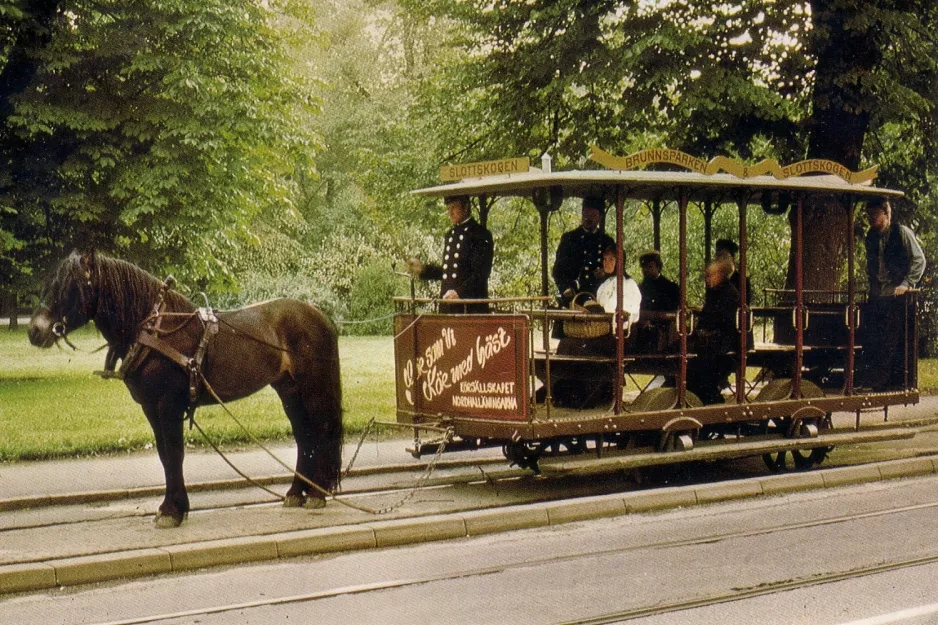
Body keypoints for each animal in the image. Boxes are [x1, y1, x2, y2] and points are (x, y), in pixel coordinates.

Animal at [28, 249, 344, 528]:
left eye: (71, 286)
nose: (35, 330)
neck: (156, 329)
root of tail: (319, 314)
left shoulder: (168, 406)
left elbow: (174, 454)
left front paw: (172, 511)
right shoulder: (151, 408)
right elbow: (164, 455)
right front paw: (173, 507)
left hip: (313, 388)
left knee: (321, 432)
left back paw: (316, 494)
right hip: (289, 390)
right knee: (304, 436)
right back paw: (296, 492)